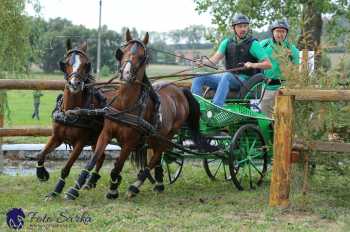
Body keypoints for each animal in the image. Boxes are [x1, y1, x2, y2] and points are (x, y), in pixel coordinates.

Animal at [35, 40, 113, 199]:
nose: (74, 84)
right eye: (66, 63)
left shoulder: (80, 143)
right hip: (96, 140)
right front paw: (42, 173)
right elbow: (41, 154)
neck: (70, 111)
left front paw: (56, 191)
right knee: (101, 157)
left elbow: (66, 168)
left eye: (86, 64)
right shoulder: (57, 137)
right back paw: (90, 182)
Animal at [64, 28, 204, 199]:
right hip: (155, 136)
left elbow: (117, 166)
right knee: (156, 157)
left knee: (156, 157)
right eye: (121, 52)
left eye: (142, 56)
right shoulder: (106, 133)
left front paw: (113, 189)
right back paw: (158, 183)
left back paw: (135, 186)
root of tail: (180, 91)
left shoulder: (129, 142)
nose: (125, 73)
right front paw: (74, 189)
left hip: (168, 136)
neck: (125, 104)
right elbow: (93, 159)